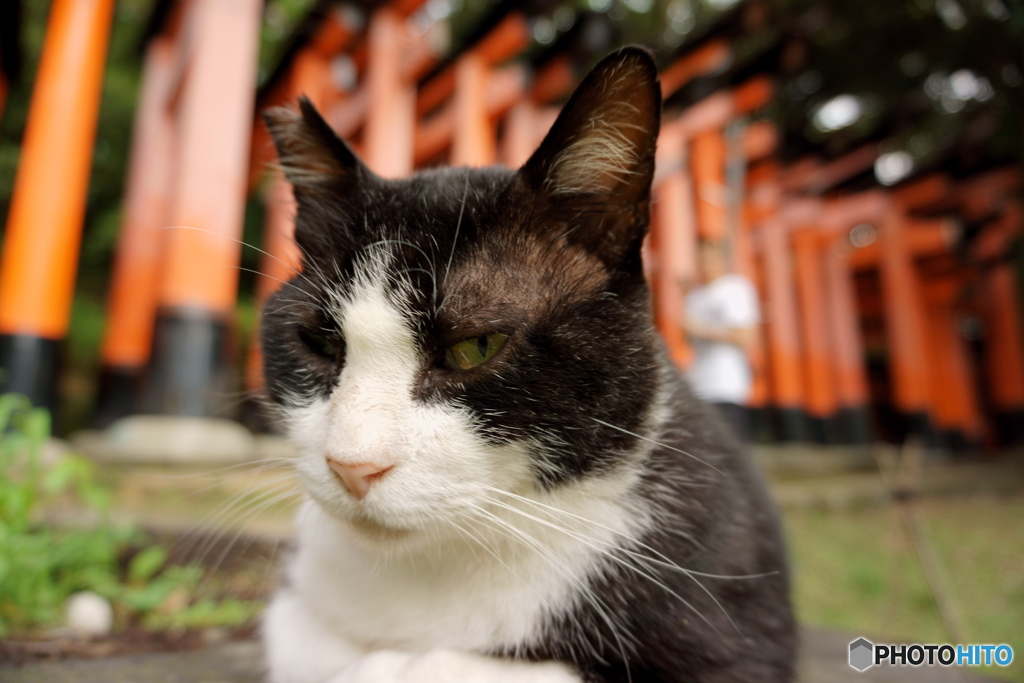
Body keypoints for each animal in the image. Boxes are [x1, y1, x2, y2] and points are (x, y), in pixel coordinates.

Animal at [258, 48, 790, 683]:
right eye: (320, 342)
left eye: (476, 346)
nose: (351, 466)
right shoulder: (294, 610)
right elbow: (301, 642)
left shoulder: (736, 638)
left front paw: (394, 663)